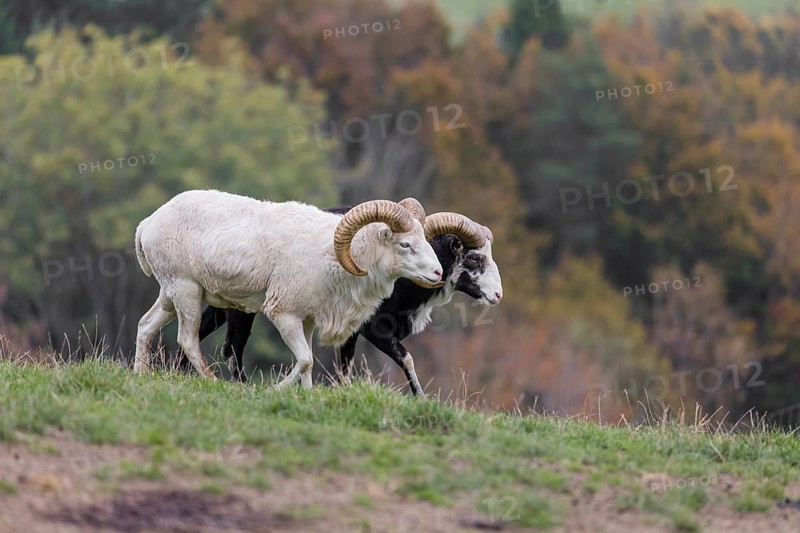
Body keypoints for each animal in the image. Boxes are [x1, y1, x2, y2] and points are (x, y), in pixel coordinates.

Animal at [133, 189, 445, 390]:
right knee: (187, 339)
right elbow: (305, 360)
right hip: (187, 292)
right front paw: (275, 391)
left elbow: (307, 362)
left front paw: (305, 397)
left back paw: (140, 375)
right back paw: (212, 381)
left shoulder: (306, 321)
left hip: (170, 295)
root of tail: (148, 224)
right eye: (405, 244)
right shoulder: (284, 315)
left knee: (145, 325)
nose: (438, 273)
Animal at [193, 208, 502, 396]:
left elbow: (345, 366)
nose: (498, 295)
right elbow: (406, 358)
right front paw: (420, 398)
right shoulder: (374, 328)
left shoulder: (352, 329)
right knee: (232, 349)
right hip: (241, 308)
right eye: (475, 258)